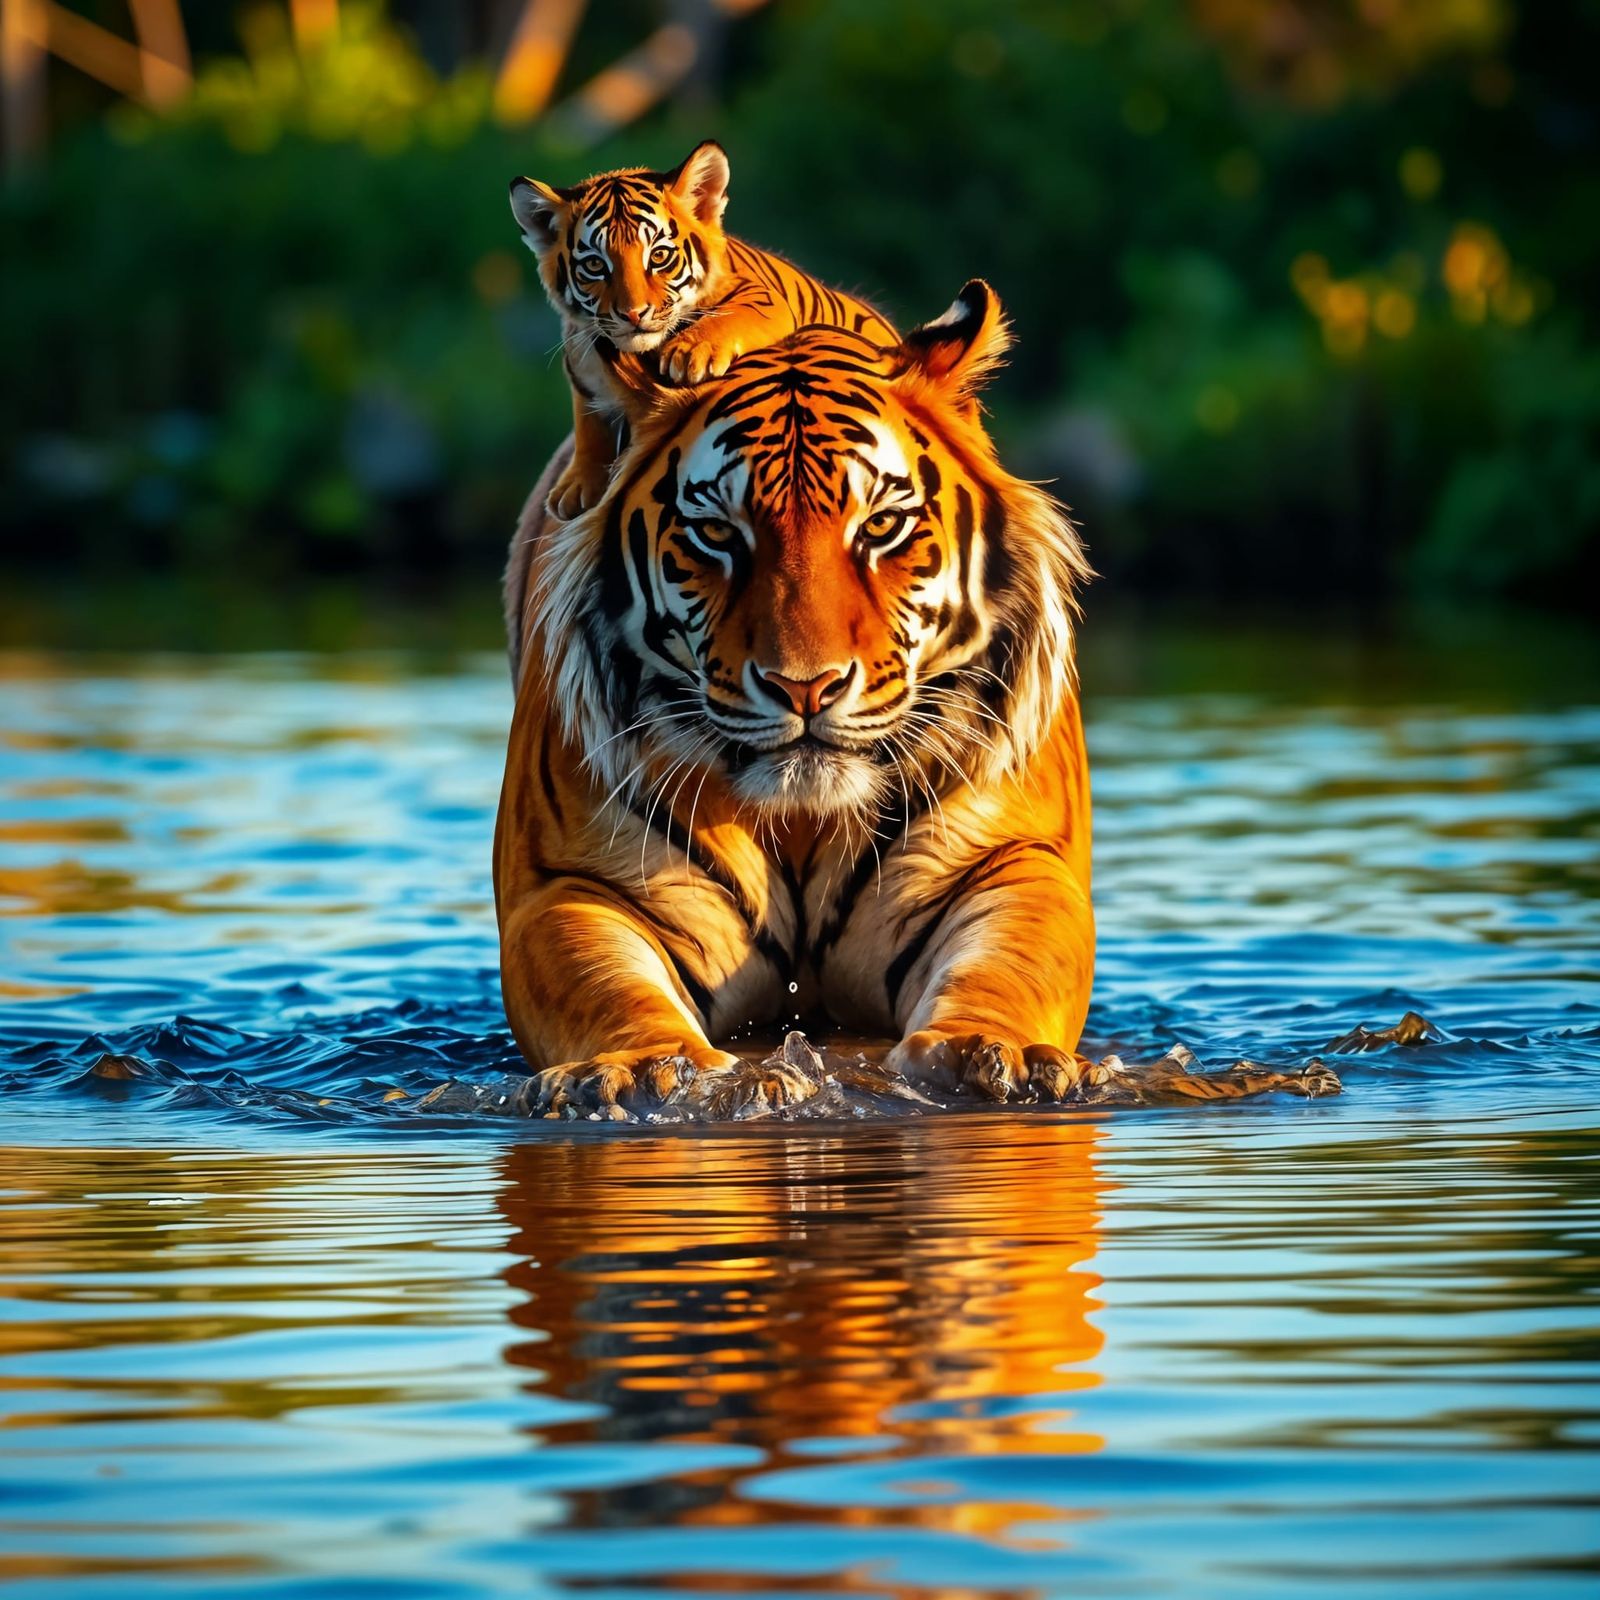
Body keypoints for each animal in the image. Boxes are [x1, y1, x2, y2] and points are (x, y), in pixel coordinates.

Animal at [509, 139, 895, 521]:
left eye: (659, 256)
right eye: (594, 265)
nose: (633, 313)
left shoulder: (764, 298)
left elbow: (732, 315)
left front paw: (690, 353)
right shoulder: (582, 363)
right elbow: (588, 420)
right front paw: (574, 487)